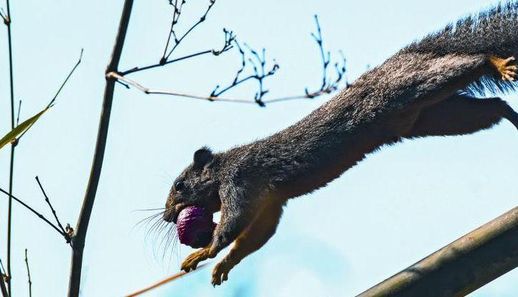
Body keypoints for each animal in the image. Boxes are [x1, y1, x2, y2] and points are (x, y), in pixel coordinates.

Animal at [164, 1, 518, 284]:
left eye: (180, 185)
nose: (167, 216)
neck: (222, 169)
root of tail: (407, 56)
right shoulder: (270, 202)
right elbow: (258, 233)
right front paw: (225, 265)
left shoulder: (241, 182)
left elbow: (234, 222)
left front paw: (204, 253)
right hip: (437, 117)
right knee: (493, 107)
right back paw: (510, 112)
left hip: (412, 87)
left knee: (467, 63)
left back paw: (495, 62)